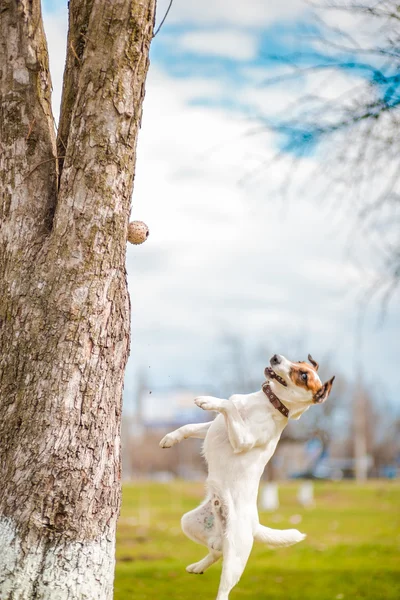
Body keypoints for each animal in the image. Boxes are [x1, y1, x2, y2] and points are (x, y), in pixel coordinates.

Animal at [159, 354, 334, 596]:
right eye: (299, 362)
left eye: (304, 375)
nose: (276, 357)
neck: (267, 403)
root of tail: (255, 524)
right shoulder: (213, 426)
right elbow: (191, 426)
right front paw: (170, 438)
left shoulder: (244, 439)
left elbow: (228, 404)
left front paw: (208, 401)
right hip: (189, 522)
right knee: (216, 550)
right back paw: (198, 566)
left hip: (236, 556)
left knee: (224, 586)